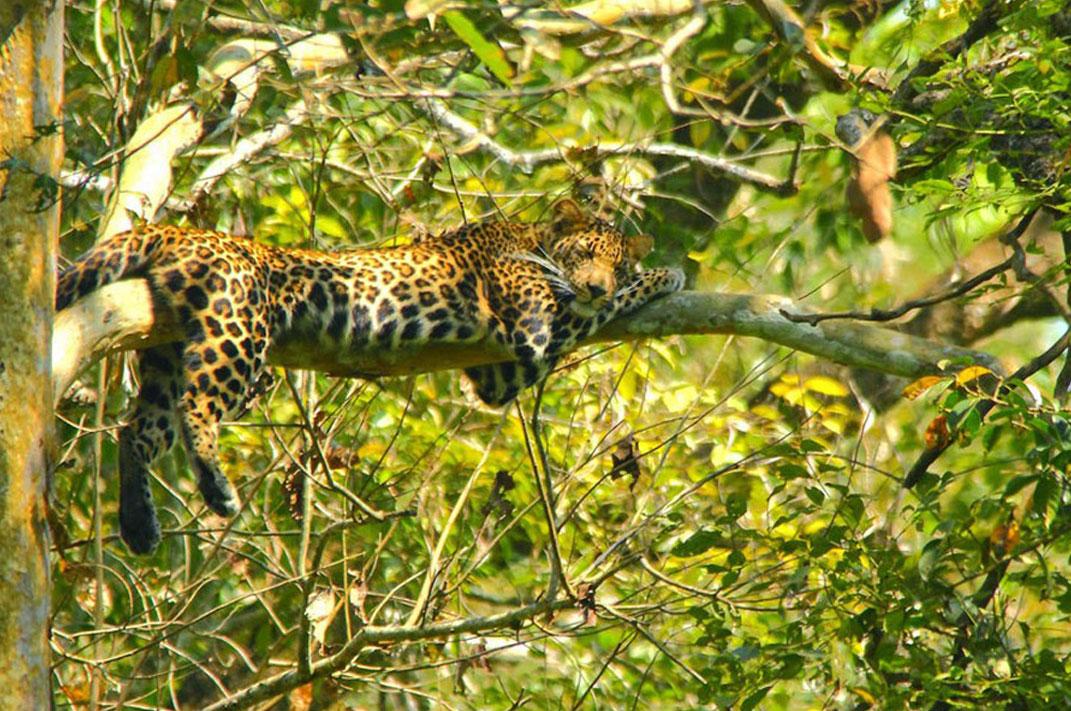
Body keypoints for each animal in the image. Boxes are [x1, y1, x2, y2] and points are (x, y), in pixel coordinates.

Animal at [54, 197, 681, 552]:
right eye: (585, 254)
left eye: (615, 261)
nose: (596, 282)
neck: (532, 238)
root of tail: (183, 231)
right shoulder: (534, 327)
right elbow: (601, 307)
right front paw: (665, 275)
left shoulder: (496, 376)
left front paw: (650, 273)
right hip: (237, 330)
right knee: (196, 405)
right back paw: (215, 487)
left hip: (162, 350)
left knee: (135, 430)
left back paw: (138, 525)